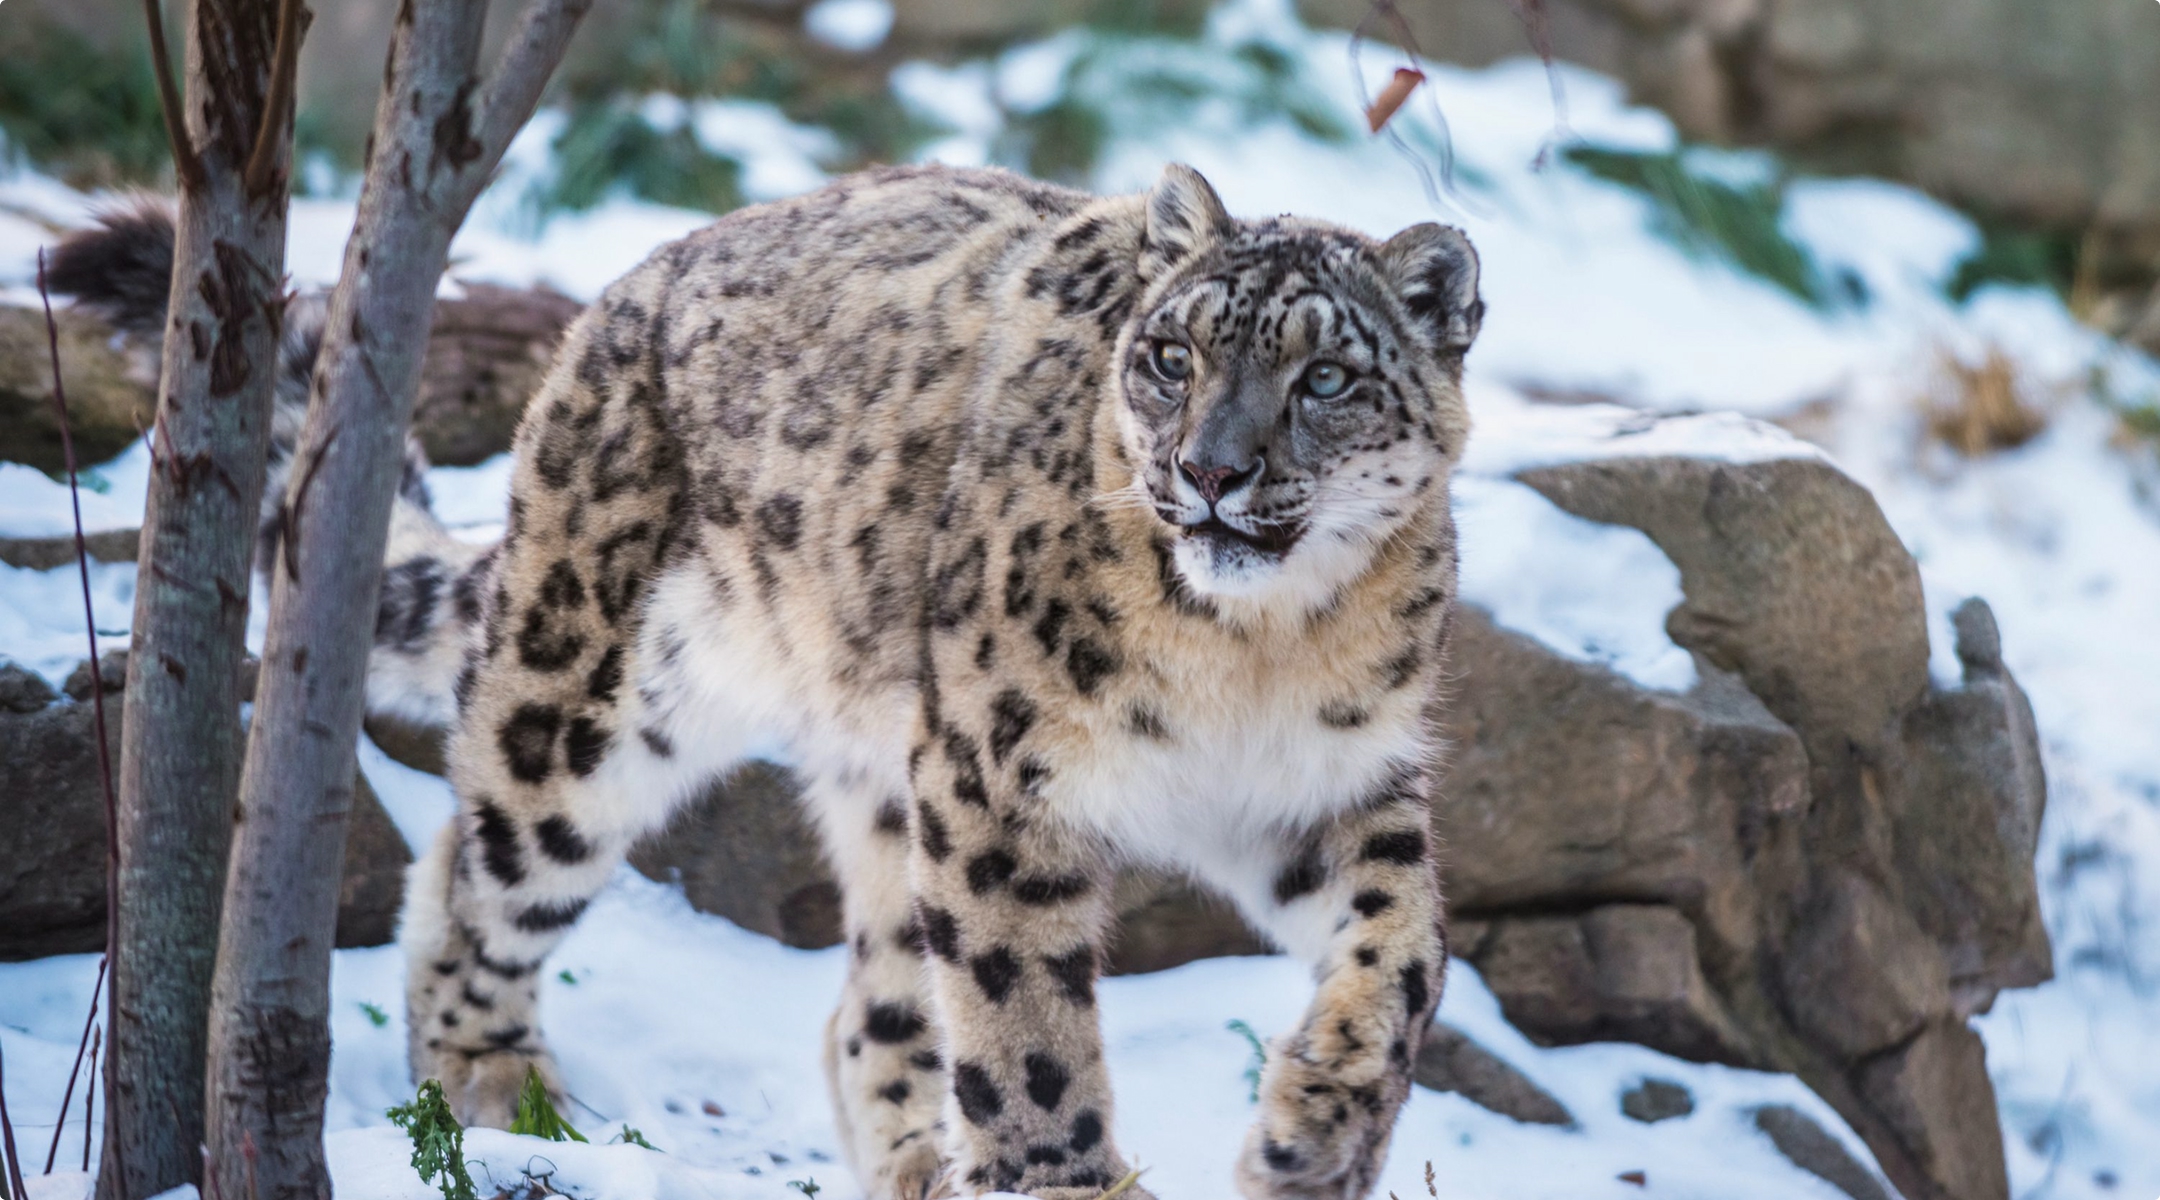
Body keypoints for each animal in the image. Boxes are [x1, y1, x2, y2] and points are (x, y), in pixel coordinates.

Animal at [54, 162, 1482, 1200]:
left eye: (1328, 377)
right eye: (1174, 354)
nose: (1211, 471)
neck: (1255, 651)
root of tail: (612, 300)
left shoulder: (1327, 792)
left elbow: (1408, 957)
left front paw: (1313, 1137)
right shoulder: (1001, 781)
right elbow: (1025, 1032)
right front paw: (1067, 1179)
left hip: (888, 781)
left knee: (871, 1011)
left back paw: (915, 1171)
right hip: (594, 700)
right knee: (474, 867)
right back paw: (495, 1096)